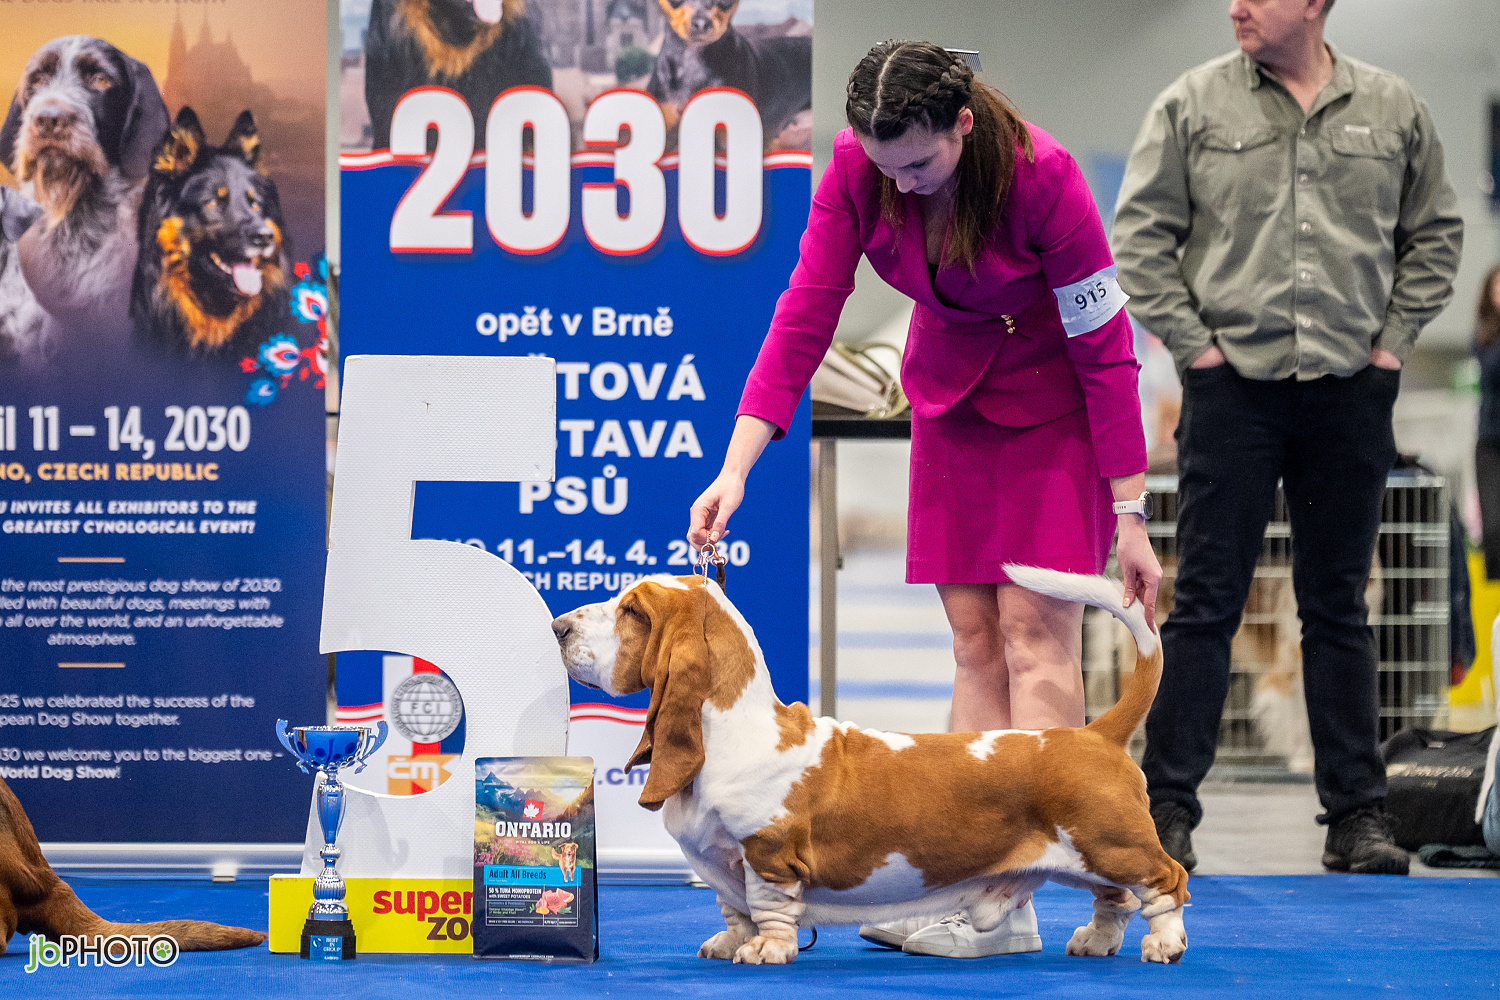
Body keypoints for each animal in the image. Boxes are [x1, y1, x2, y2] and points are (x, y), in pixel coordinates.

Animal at [552, 568, 1189, 965]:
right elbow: (733, 911)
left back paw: (1165, 945)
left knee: (1166, 883)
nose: (558, 626)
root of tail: (1094, 734)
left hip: (1114, 844)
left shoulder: (768, 857)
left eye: (632, 610)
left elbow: (768, 911)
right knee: (1114, 900)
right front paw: (729, 944)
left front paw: (766, 952)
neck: (730, 729)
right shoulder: (719, 865)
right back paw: (1095, 942)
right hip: (1092, 857)